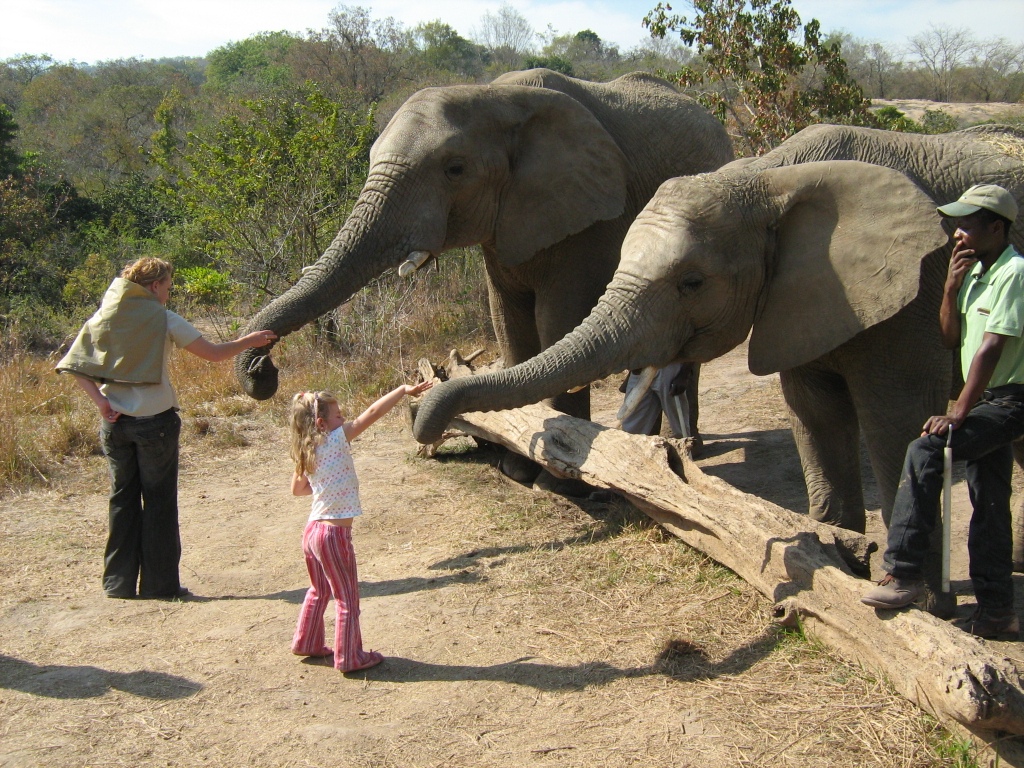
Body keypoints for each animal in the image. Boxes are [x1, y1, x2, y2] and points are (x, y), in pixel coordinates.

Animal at [234, 68, 734, 441]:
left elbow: (557, 322)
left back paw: (684, 446)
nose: (264, 372)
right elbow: (508, 322)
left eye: (455, 170)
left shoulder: (592, 219)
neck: (496, 96)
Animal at [412, 124, 1024, 540]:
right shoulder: (804, 297)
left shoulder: (914, 293)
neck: (769, 176)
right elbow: (813, 414)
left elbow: (899, 422)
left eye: (692, 283)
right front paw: (842, 552)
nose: (423, 424)